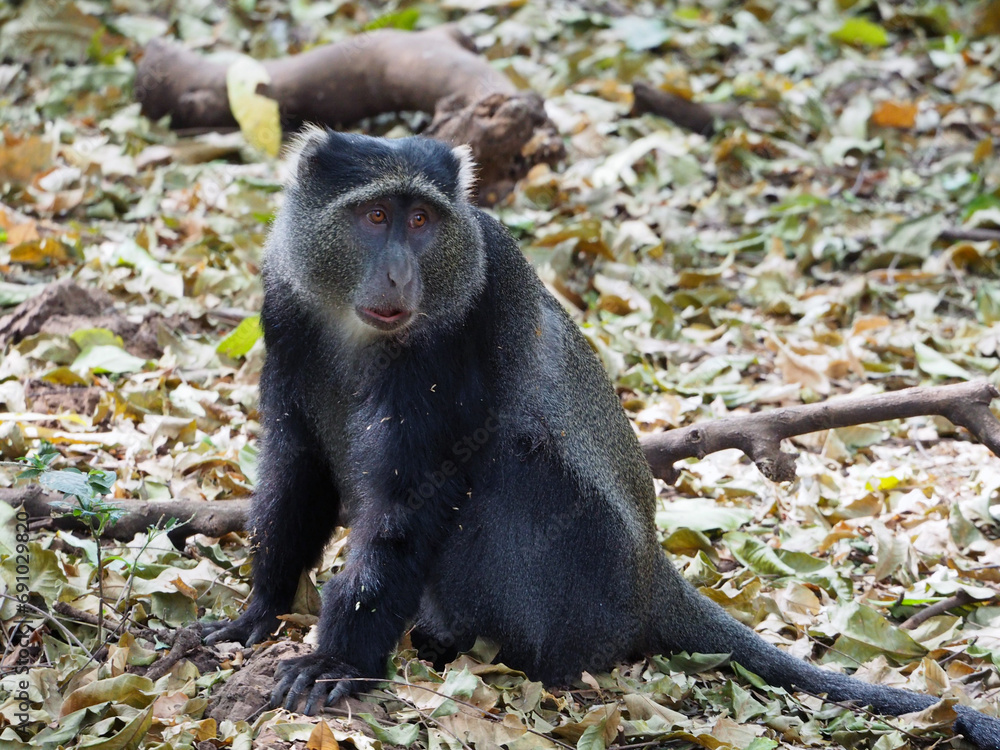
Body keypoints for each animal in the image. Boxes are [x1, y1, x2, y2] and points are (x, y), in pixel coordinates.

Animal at [202, 128, 1000, 748]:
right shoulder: (284, 307)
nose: (399, 272)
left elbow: (410, 500)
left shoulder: (458, 334)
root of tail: (650, 579)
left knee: (509, 452)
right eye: (374, 216)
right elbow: (296, 468)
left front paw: (337, 661)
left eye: (421, 221)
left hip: (588, 581)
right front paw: (259, 610)